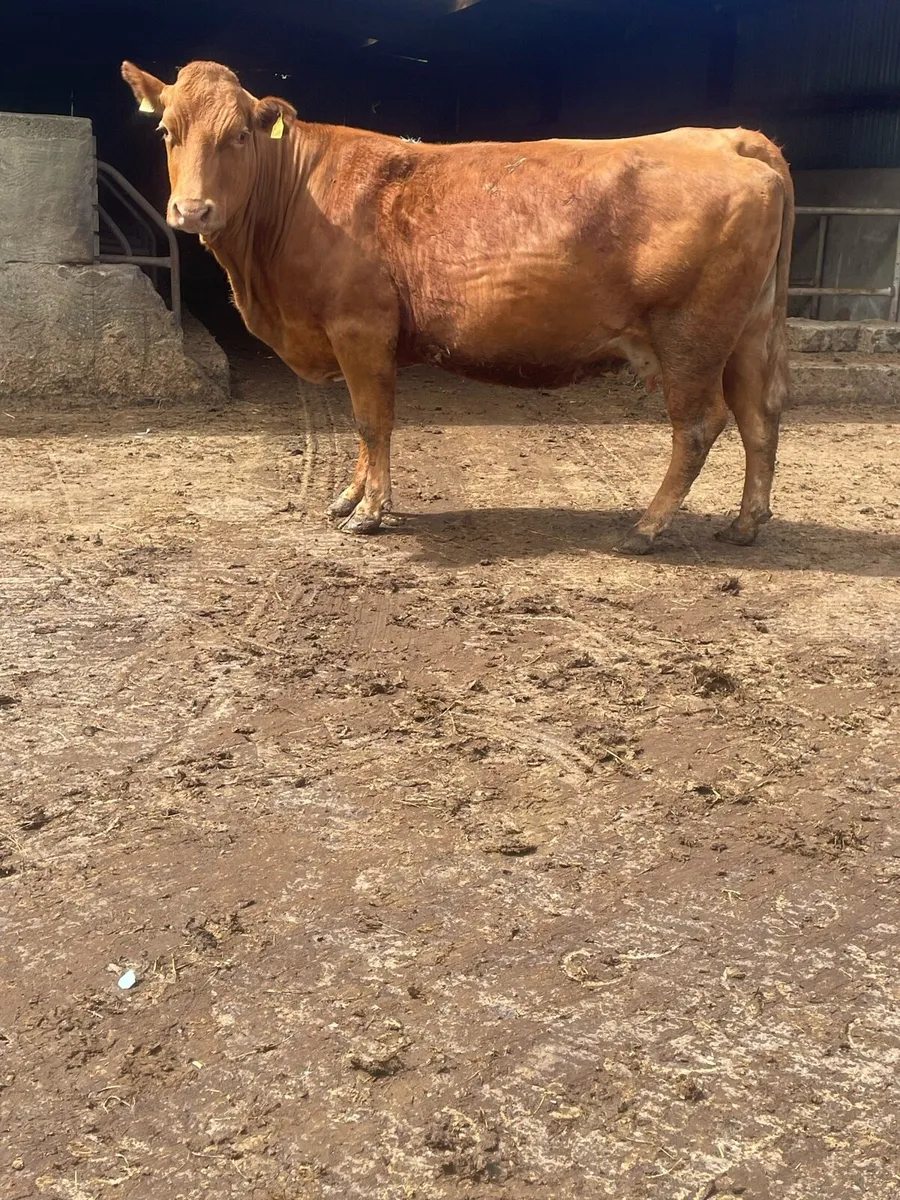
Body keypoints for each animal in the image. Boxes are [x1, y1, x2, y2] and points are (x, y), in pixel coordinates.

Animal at [122, 59, 794, 554]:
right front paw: (350, 497)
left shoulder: (360, 327)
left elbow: (372, 421)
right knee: (760, 415)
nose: (192, 210)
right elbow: (365, 425)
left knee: (700, 425)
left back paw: (647, 527)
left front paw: (368, 513)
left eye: (239, 134)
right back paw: (745, 523)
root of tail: (732, 138)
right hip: (750, 332)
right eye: (166, 132)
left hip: (692, 335)